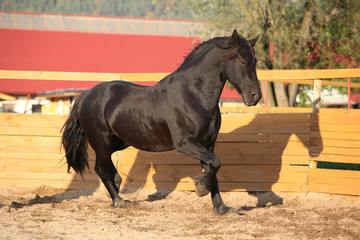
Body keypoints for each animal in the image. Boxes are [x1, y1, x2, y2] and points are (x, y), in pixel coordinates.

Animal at [62, 29, 262, 215]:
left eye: (255, 60)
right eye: (242, 61)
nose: (256, 96)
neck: (192, 95)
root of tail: (86, 94)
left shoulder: (208, 143)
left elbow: (213, 168)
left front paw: (221, 208)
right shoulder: (185, 143)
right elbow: (214, 164)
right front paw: (201, 188)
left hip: (118, 142)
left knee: (110, 169)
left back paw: (117, 190)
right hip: (101, 142)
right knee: (101, 169)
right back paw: (119, 201)